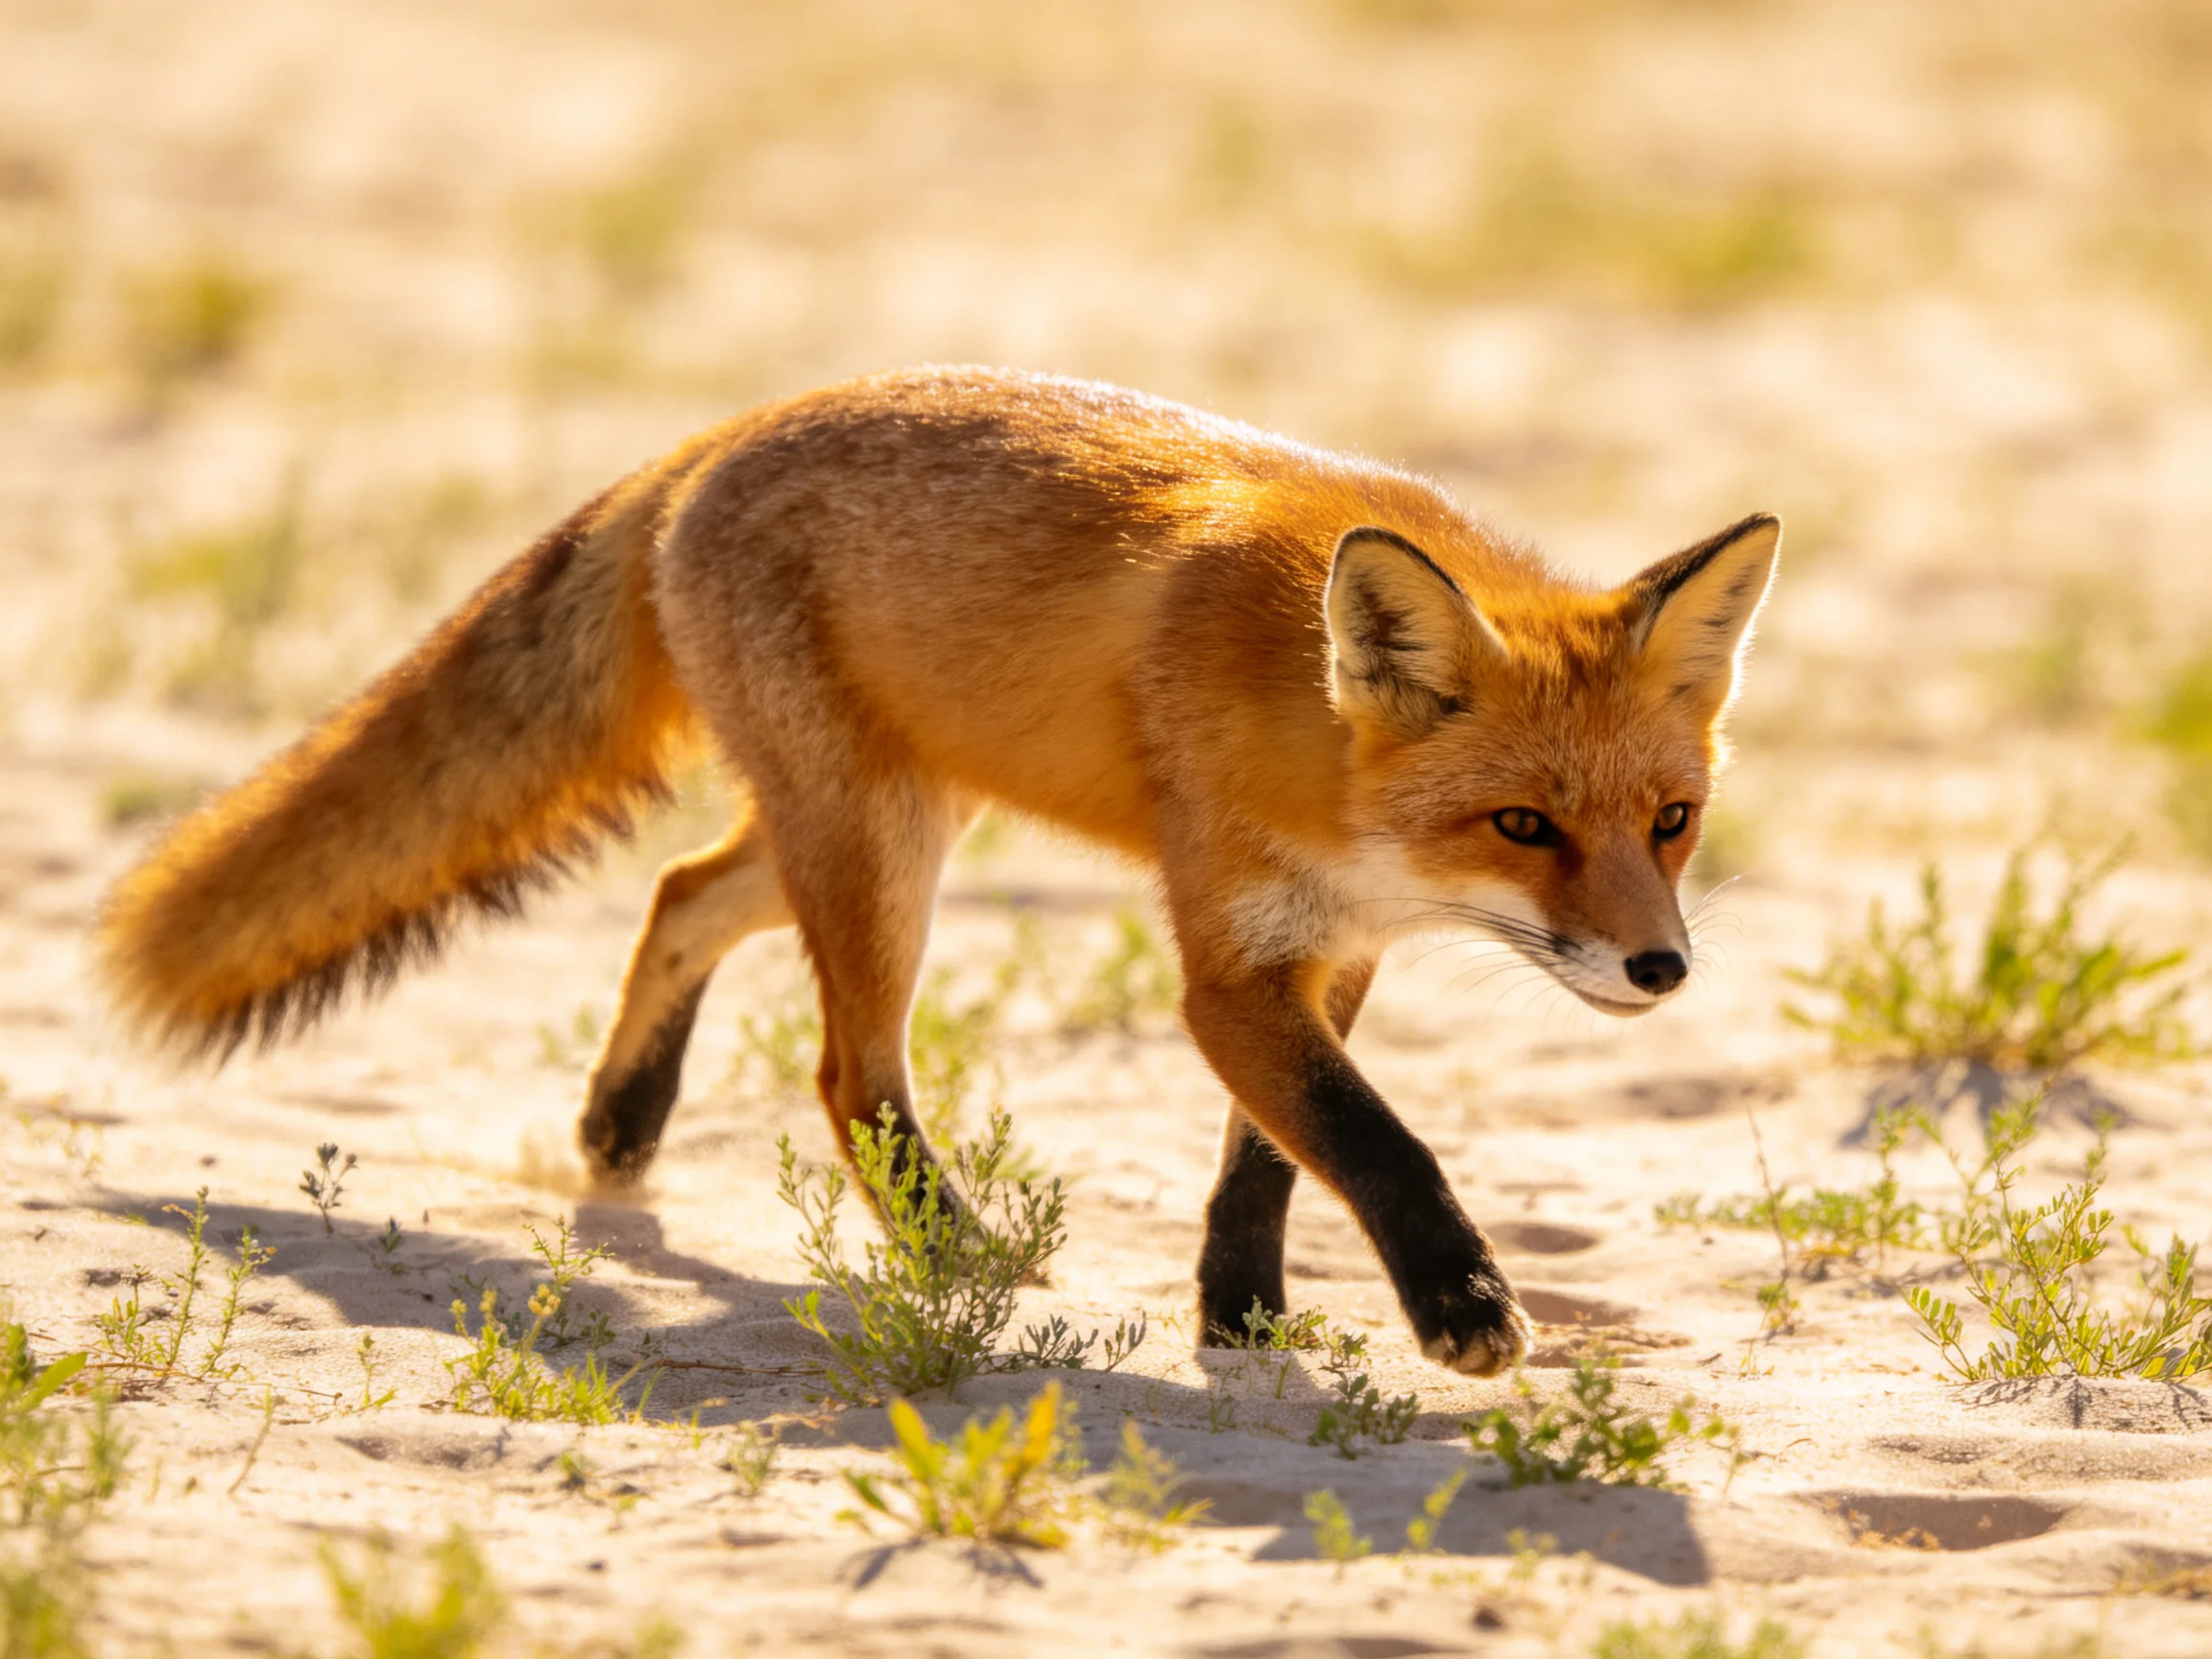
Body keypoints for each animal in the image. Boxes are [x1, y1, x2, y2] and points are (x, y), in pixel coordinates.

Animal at [96, 366, 1779, 1377]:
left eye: (1670, 821)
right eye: (1524, 828)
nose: (1661, 967)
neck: (1318, 745)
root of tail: (719, 433)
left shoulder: (1330, 952)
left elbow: (1272, 1157)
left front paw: (1239, 1314)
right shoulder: (1227, 966)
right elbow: (1375, 1142)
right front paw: (1461, 1302)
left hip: (872, 825)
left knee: (681, 892)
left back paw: (624, 1121)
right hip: (878, 847)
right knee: (846, 1067)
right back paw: (953, 1248)